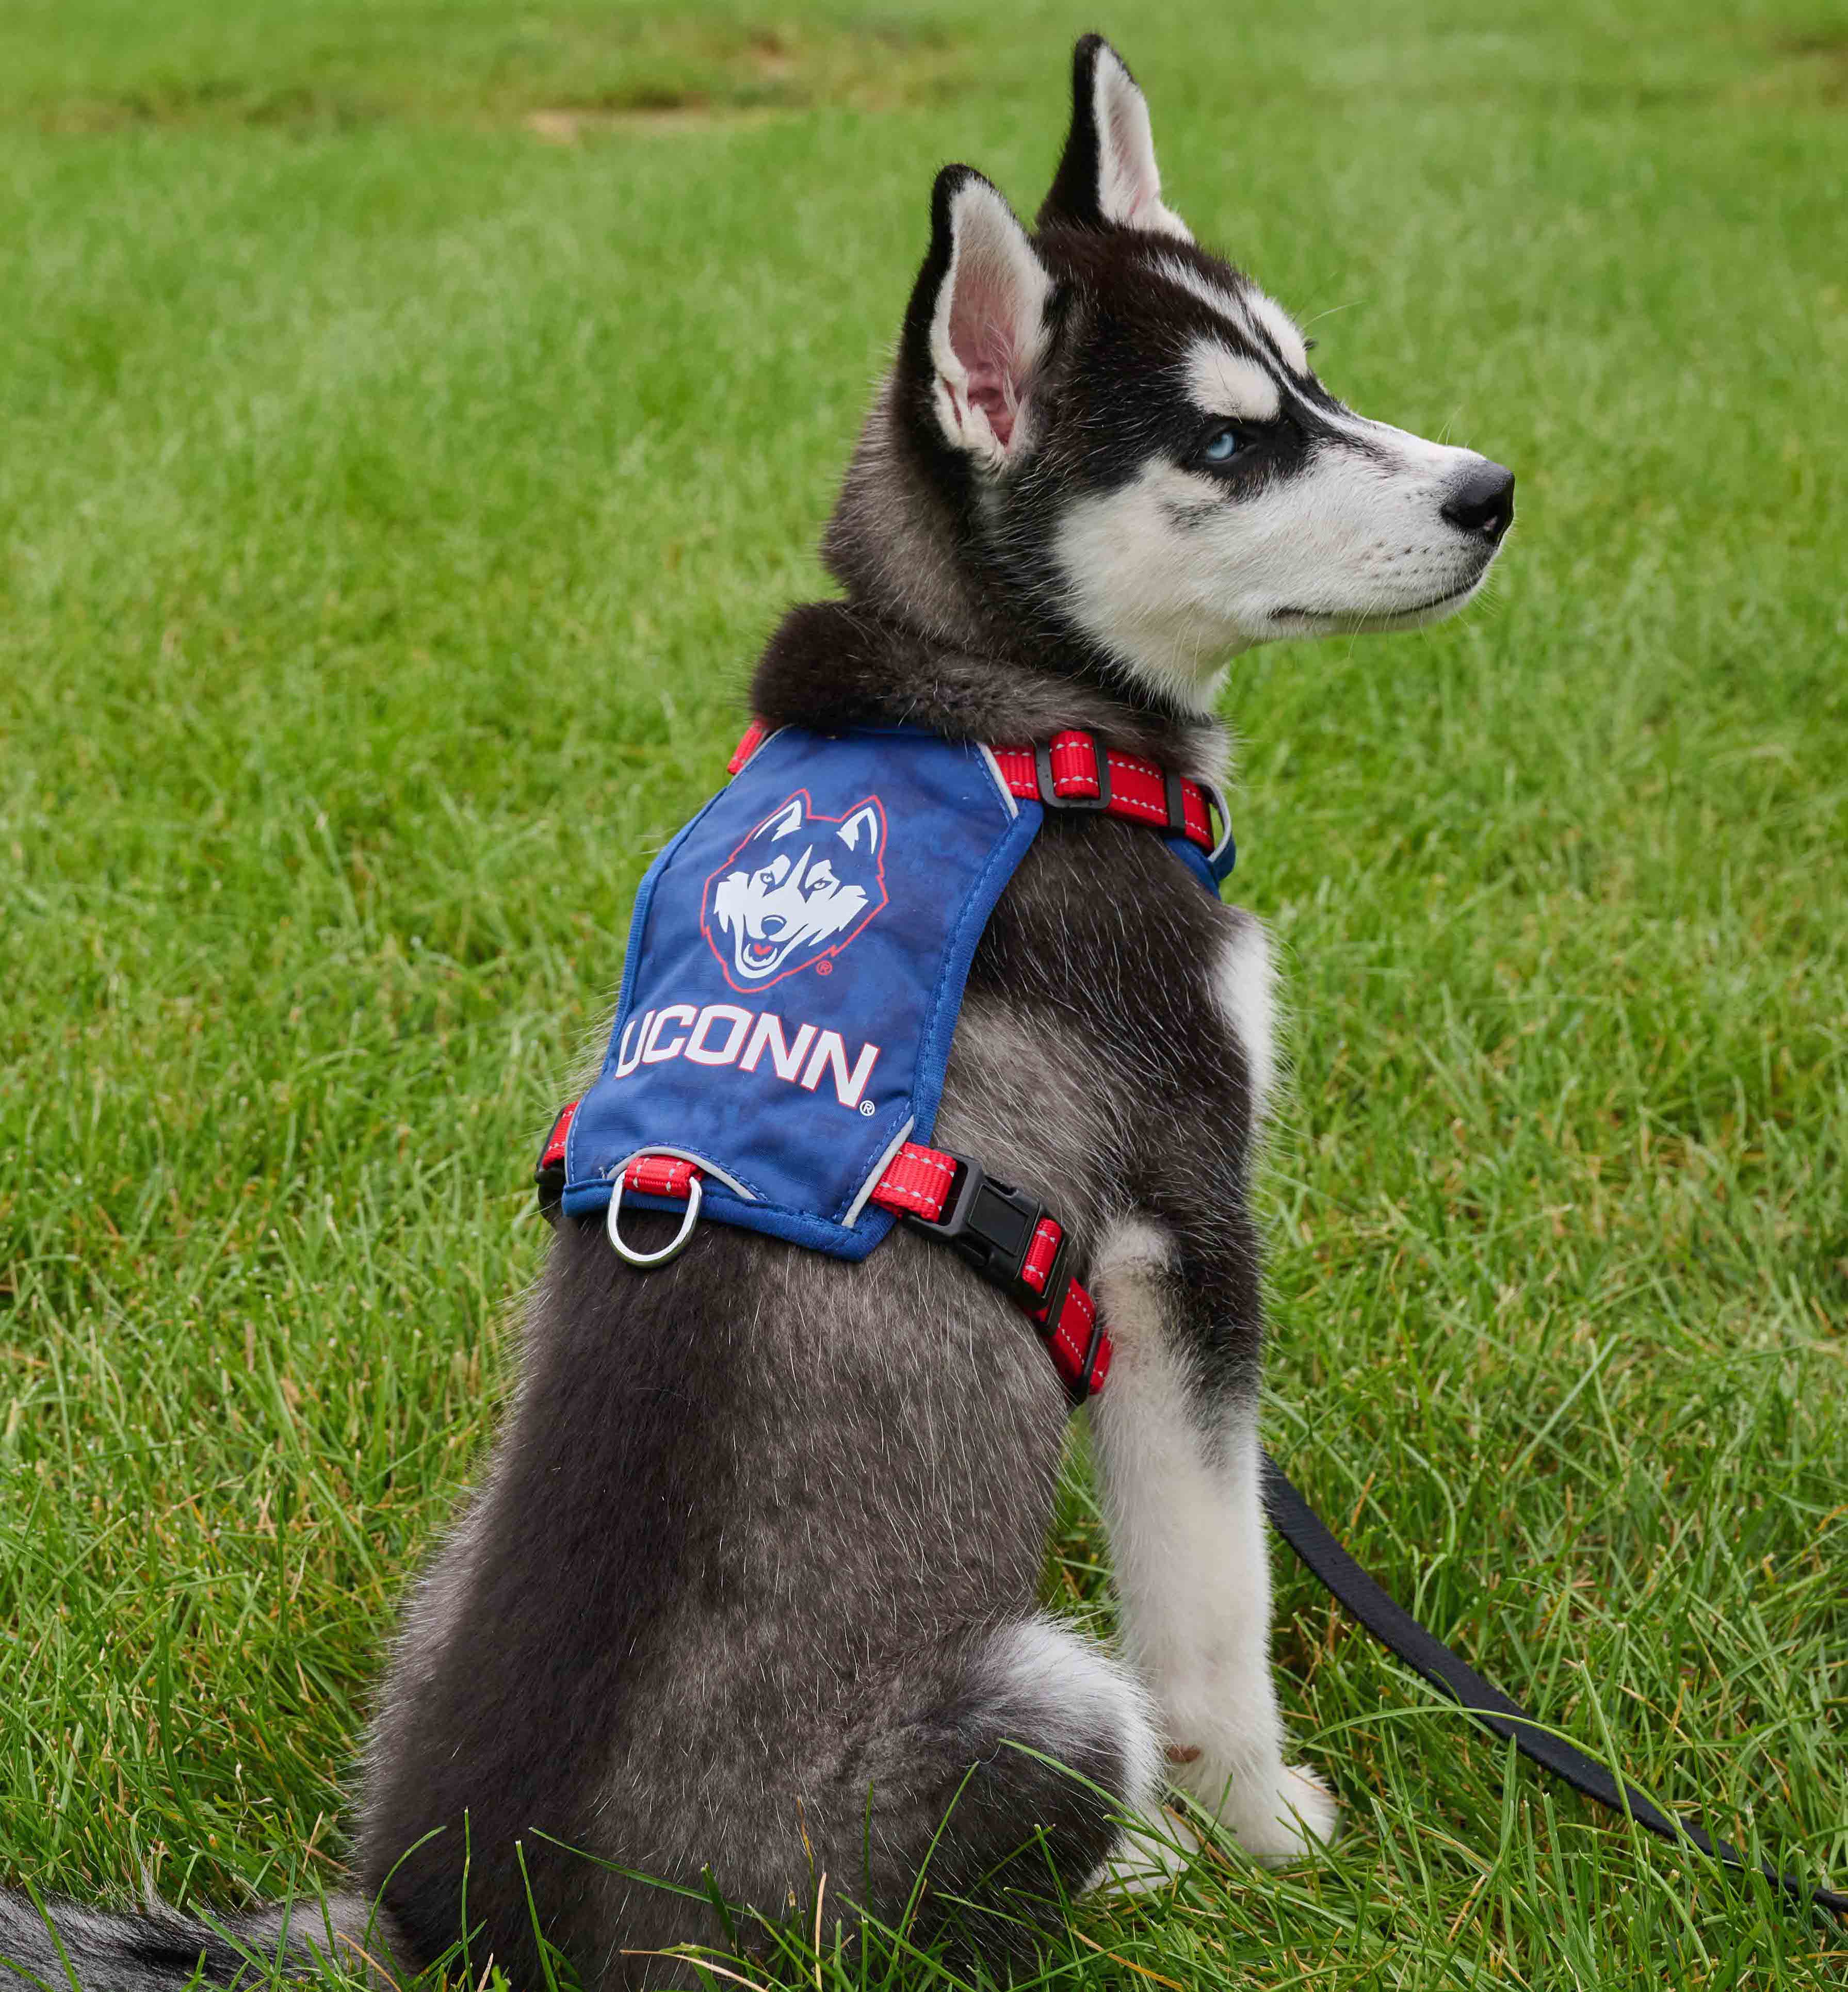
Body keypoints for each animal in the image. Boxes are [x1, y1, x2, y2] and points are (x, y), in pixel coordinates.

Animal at [0, 35, 1507, 1992]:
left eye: (1312, 374)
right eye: (1231, 441)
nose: (1492, 491)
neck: (992, 698)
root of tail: (457, 1922)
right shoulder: (1181, 1230)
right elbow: (1212, 1606)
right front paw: (1267, 1836)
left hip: (443, 1584)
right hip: (1042, 1703)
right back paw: (1143, 1867)